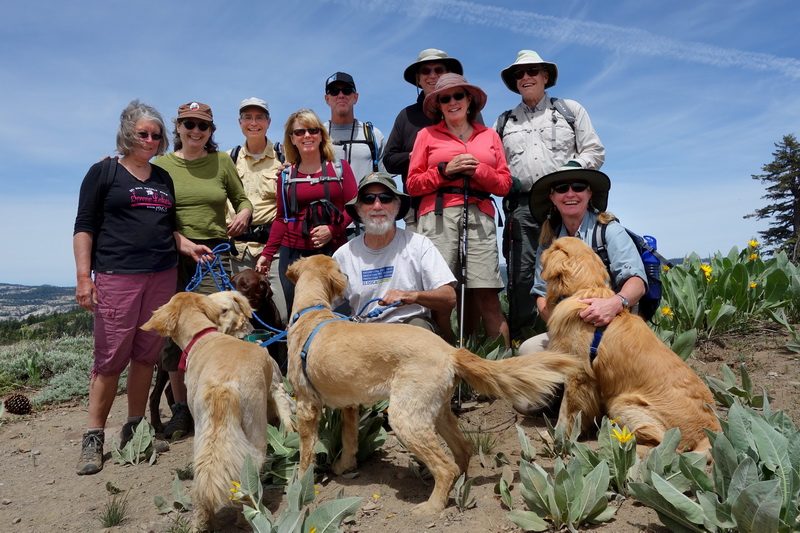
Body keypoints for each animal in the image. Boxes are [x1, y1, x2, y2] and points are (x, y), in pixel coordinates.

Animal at [282, 256, 576, 512]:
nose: (346, 278)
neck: (311, 311)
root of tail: (451, 350)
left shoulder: (306, 405)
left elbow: (306, 452)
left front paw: (301, 484)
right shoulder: (350, 405)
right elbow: (349, 439)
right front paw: (344, 466)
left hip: (406, 417)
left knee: (446, 467)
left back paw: (432, 507)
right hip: (437, 410)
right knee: (462, 451)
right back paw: (459, 487)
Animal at [536, 237, 720, 458]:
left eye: (555, 246)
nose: (541, 248)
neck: (583, 290)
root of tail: (709, 433)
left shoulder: (578, 375)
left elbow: (565, 413)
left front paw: (554, 438)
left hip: (622, 403)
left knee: (664, 447)